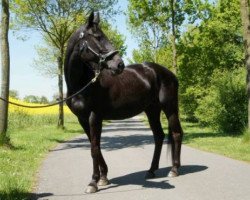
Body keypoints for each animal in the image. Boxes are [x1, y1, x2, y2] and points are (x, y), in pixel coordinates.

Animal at [63, 11, 183, 193]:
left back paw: (174, 169)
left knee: (176, 133)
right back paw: (151, 170)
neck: (84, 84)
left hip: (170, 108)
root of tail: (168, 73)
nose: (119, 64)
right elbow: (95, 146)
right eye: (98, 37)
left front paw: (93, 182)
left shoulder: (94, 117)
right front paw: (103, 177)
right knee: (159, 136)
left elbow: (94, 148)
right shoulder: (82, 119)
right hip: (152, 110)